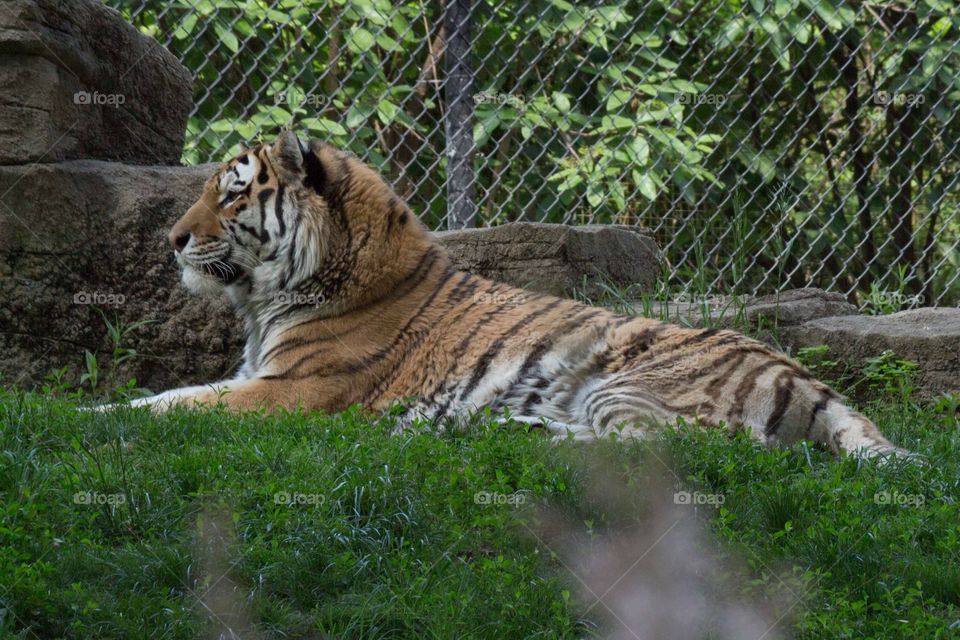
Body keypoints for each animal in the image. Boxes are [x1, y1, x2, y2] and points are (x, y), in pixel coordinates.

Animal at [124, 130, 912, 460]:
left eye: (232, 193)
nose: (172, 239)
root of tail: (805, 377)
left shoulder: (290, 391)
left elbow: (170, 406)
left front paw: (103, 419)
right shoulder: (257, 376)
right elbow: (171, 395)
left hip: (632, 386)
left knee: (681, 450)